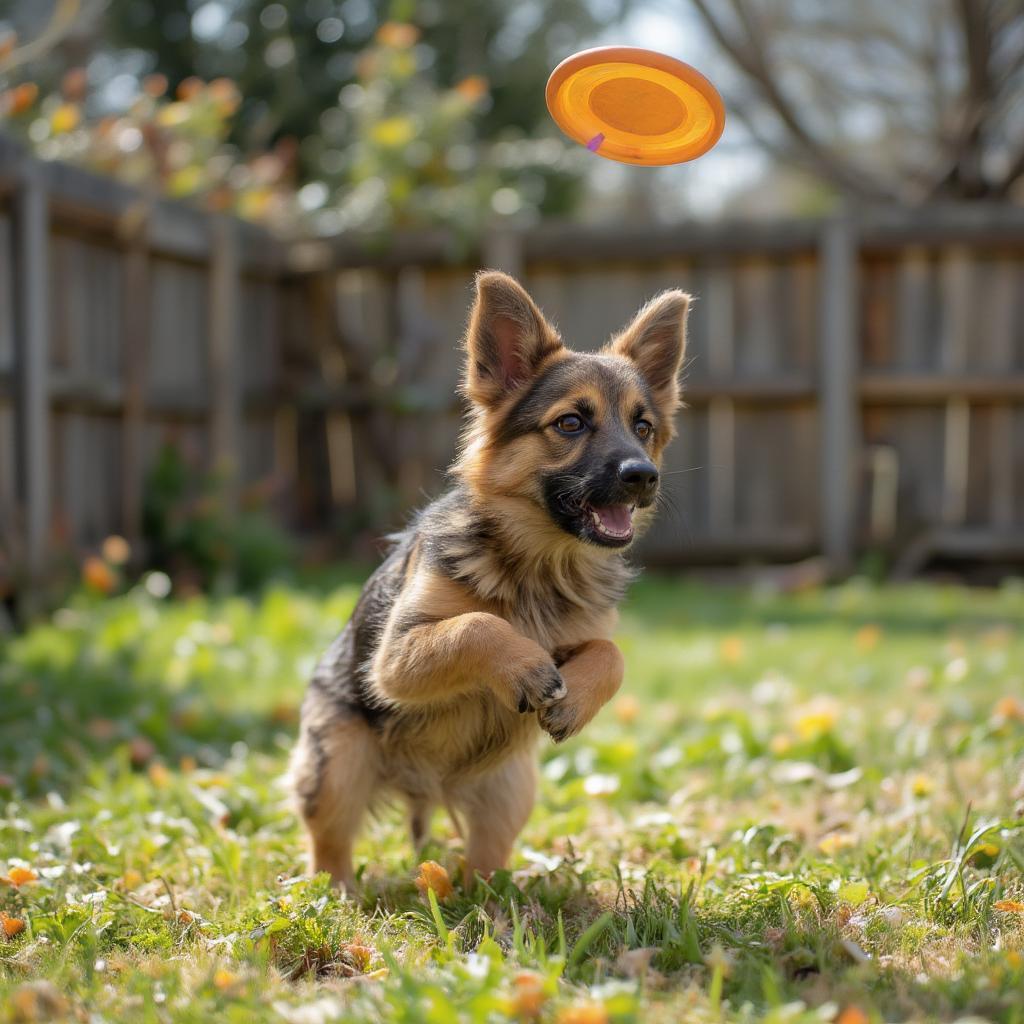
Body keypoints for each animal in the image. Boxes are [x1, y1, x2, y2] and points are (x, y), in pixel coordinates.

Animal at [288, 270, 688, 888]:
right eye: (570, 423)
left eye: (643, 427)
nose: (643, 476)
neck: (538, 565)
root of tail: (426, 787)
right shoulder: (395, 657)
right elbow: (474, 624)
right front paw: (524, 666)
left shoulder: (587, 636)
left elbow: (612, 654)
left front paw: (575, 699)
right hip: (337, 765)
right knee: (328, 848)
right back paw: (337, 895)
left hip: (511, 787)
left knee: (485, 860)